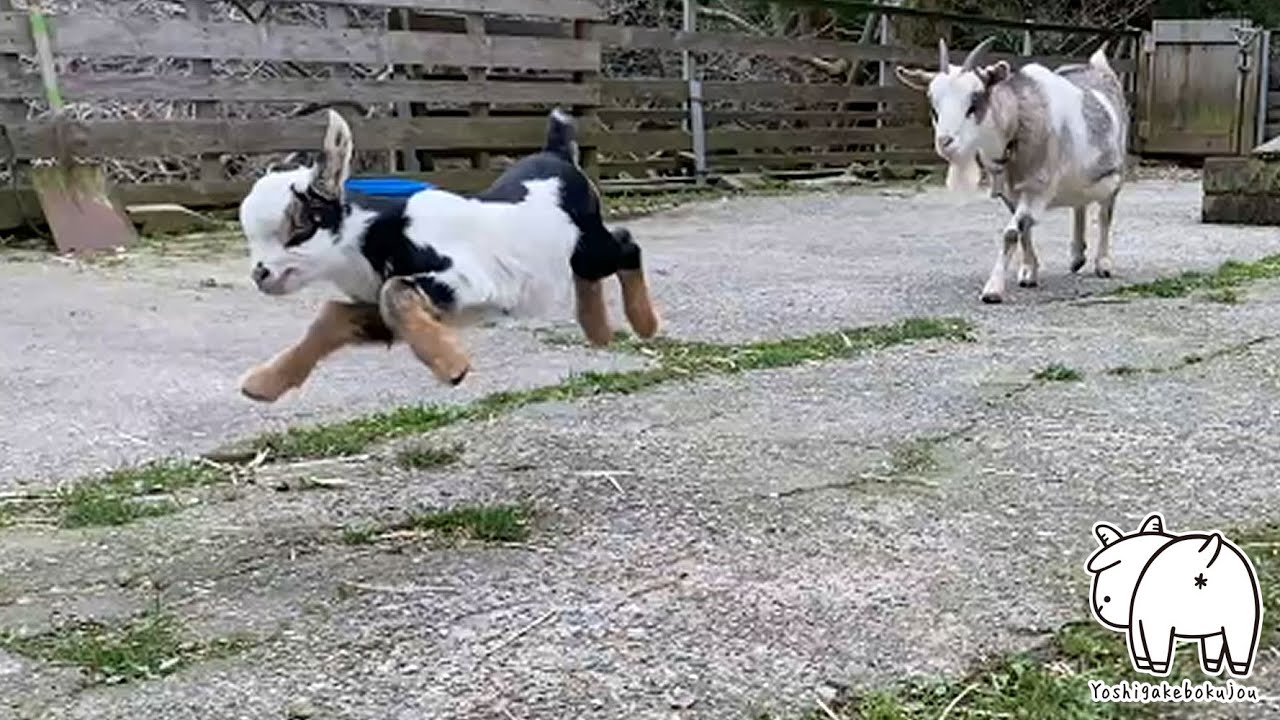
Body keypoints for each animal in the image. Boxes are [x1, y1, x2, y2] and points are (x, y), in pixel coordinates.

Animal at [236, 108, 661, 402]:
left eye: (299, 230)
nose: (260, 274)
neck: (370, 234)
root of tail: (556, 155)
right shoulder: (382, 310)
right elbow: (333, 316)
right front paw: (264, 384)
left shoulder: (467, 281)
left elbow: (394, 291)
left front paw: (451, 367)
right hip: (577, 253)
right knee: (592, 270)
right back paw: (599, 331)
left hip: (590, 245)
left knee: (626, 245)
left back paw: (644, 325)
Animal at [895, 37, 1129, 303]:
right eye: (934, 106)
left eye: (974, 102)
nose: (945, 142)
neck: (1018, 121)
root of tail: (1098, 67)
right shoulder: (1010, 193)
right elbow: (1023, 231)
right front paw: (1029, 271)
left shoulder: (1037, 188)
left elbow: (1011, 233)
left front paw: (993, 289)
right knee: (1079, 205)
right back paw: (1077, 257)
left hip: (1114, 174)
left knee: (1105, 213)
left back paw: (1103, 264)